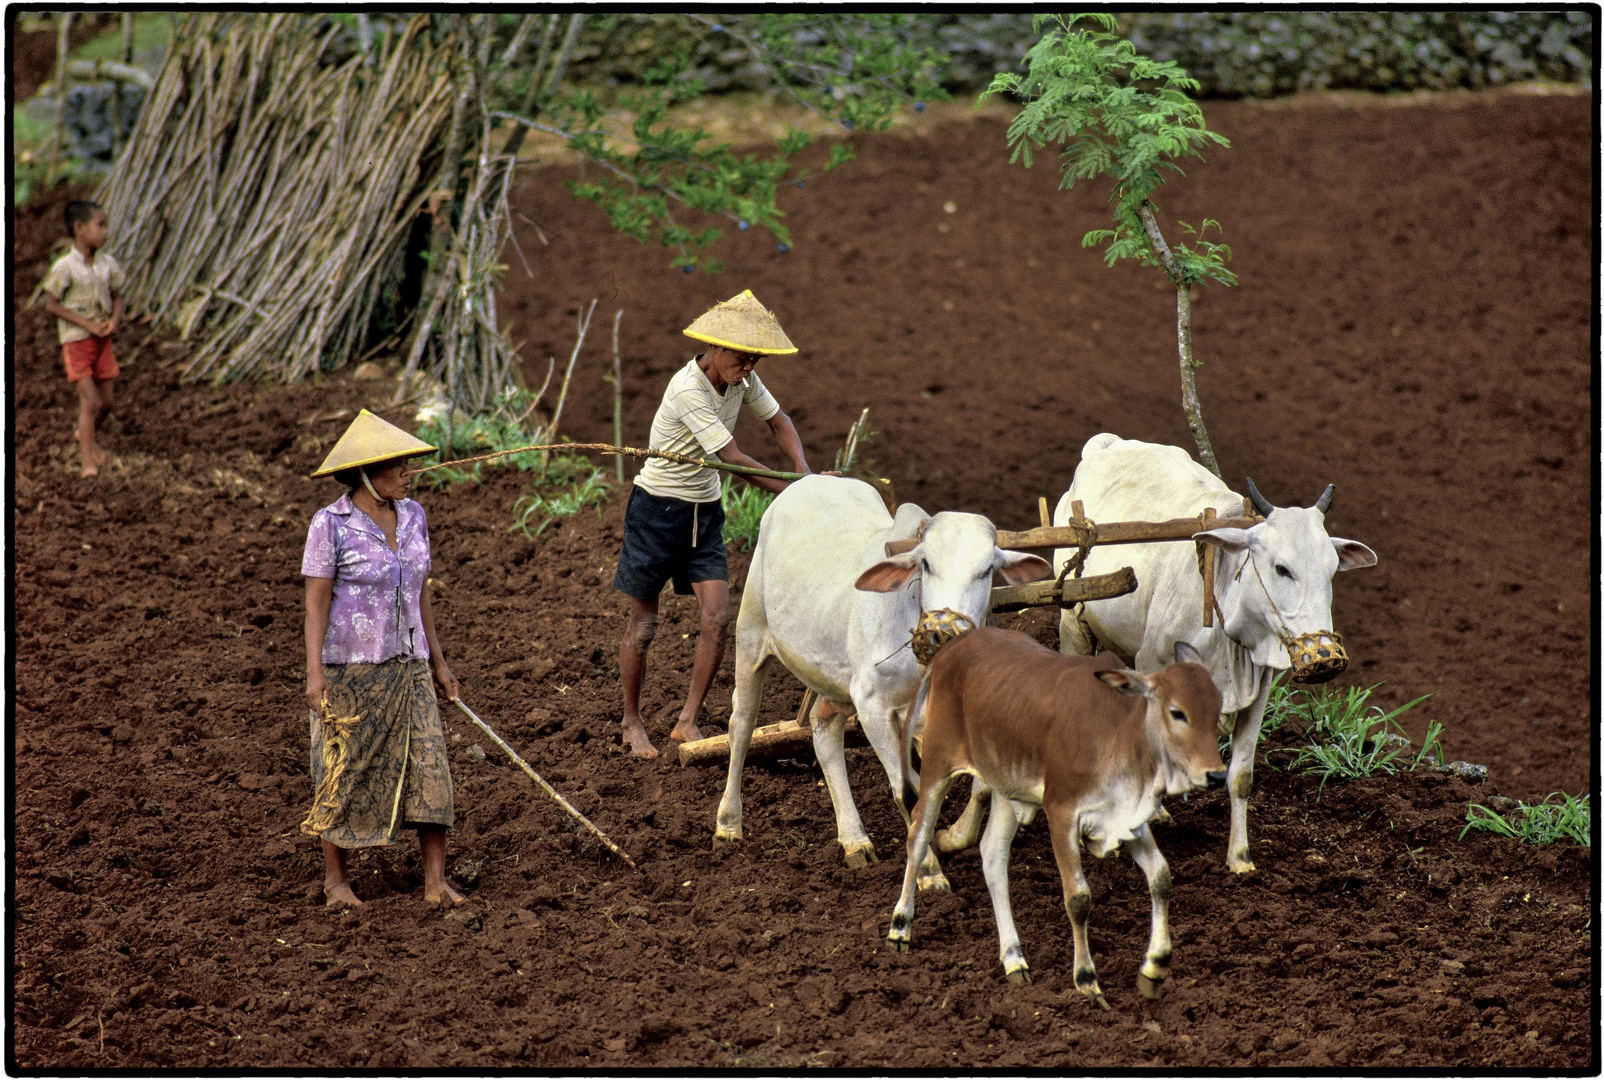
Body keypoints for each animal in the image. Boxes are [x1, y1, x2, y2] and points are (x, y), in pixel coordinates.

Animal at [885, 629, 1219, 1007]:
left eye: (1218, 709)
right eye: (1177, 712)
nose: (1216, 774)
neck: (1120, 731)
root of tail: (956, 643)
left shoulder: (1128, 819)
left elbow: (1161, 878)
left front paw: (1155, 968)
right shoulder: (1062, 814)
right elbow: (1078, 899)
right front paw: (1086, 979)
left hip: (1005, 787)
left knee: (993, 855)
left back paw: (1013, 957)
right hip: (937, 765)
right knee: (918, 835)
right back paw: (900, 926)